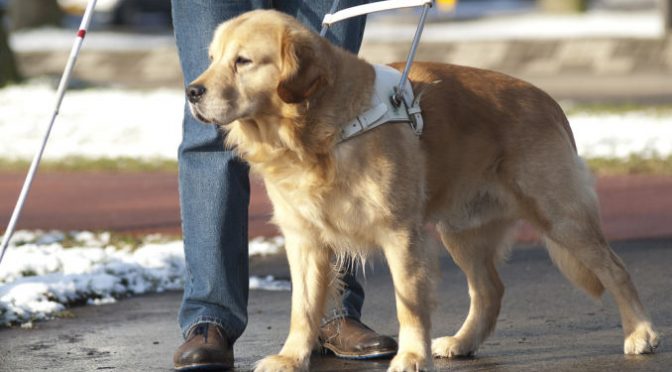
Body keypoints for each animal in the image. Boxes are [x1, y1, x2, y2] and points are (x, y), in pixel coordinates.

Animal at [186, 8, 660, 372]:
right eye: (211, 58)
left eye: (243, 61)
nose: (192, 91)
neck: (318, 131)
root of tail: (547, 100)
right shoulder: (304, 238)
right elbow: (303, 309)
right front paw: (291, 357)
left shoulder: (400, 232)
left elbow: (408, 302)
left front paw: (412, 356)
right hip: (461, 230)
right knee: (490, 291)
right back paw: (464, 342)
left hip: (559, 214)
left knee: (615, 268)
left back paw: (641, 332)